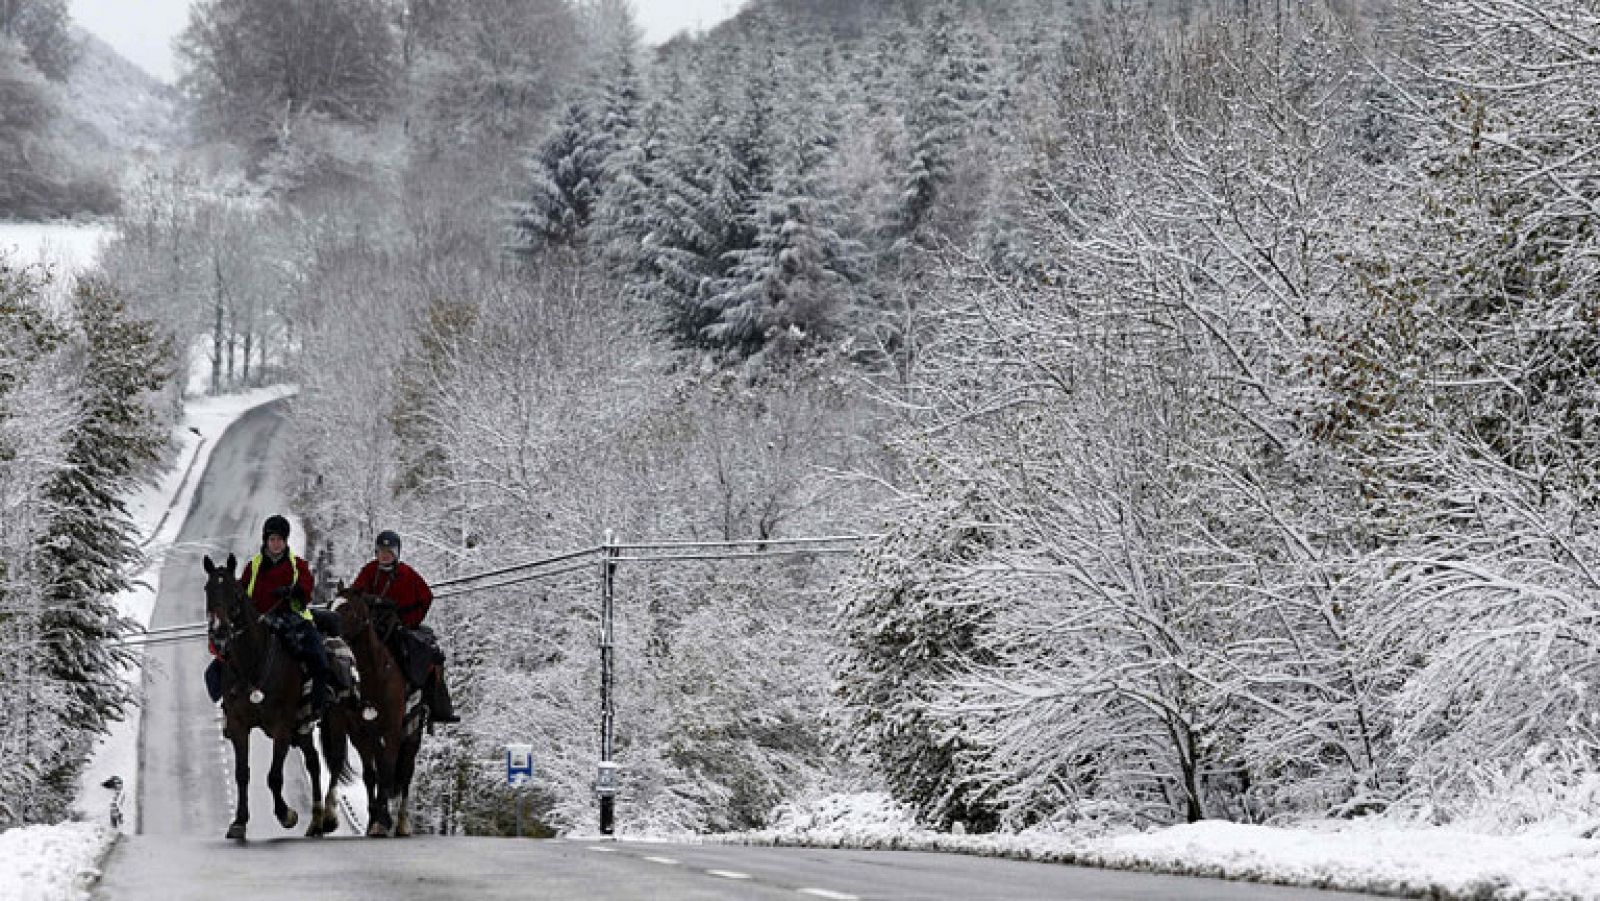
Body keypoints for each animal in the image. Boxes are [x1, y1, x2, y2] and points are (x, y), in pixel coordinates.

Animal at [204, 553, 332, 844]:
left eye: (236, 592)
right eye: (207, 590)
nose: (219, 632)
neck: (253, 662)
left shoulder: (282, 725)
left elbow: (274, 776)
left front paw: (287, 815)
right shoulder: (239, 724)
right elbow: (242, 773)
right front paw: (239, 822)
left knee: (317, 762)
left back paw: (319, 821)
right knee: (313, 760)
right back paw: (317, 820)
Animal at [320, 585, 425, 838]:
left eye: (348, 608)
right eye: (330, 605)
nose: (328, 633)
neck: (372, 676)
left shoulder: (392, 730)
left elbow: (387, 769)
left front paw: (381, 820)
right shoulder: (353, 729)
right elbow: (348, 765)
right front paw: (327, 817)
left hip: (412, 734)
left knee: (405, 771)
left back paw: (401, 824)